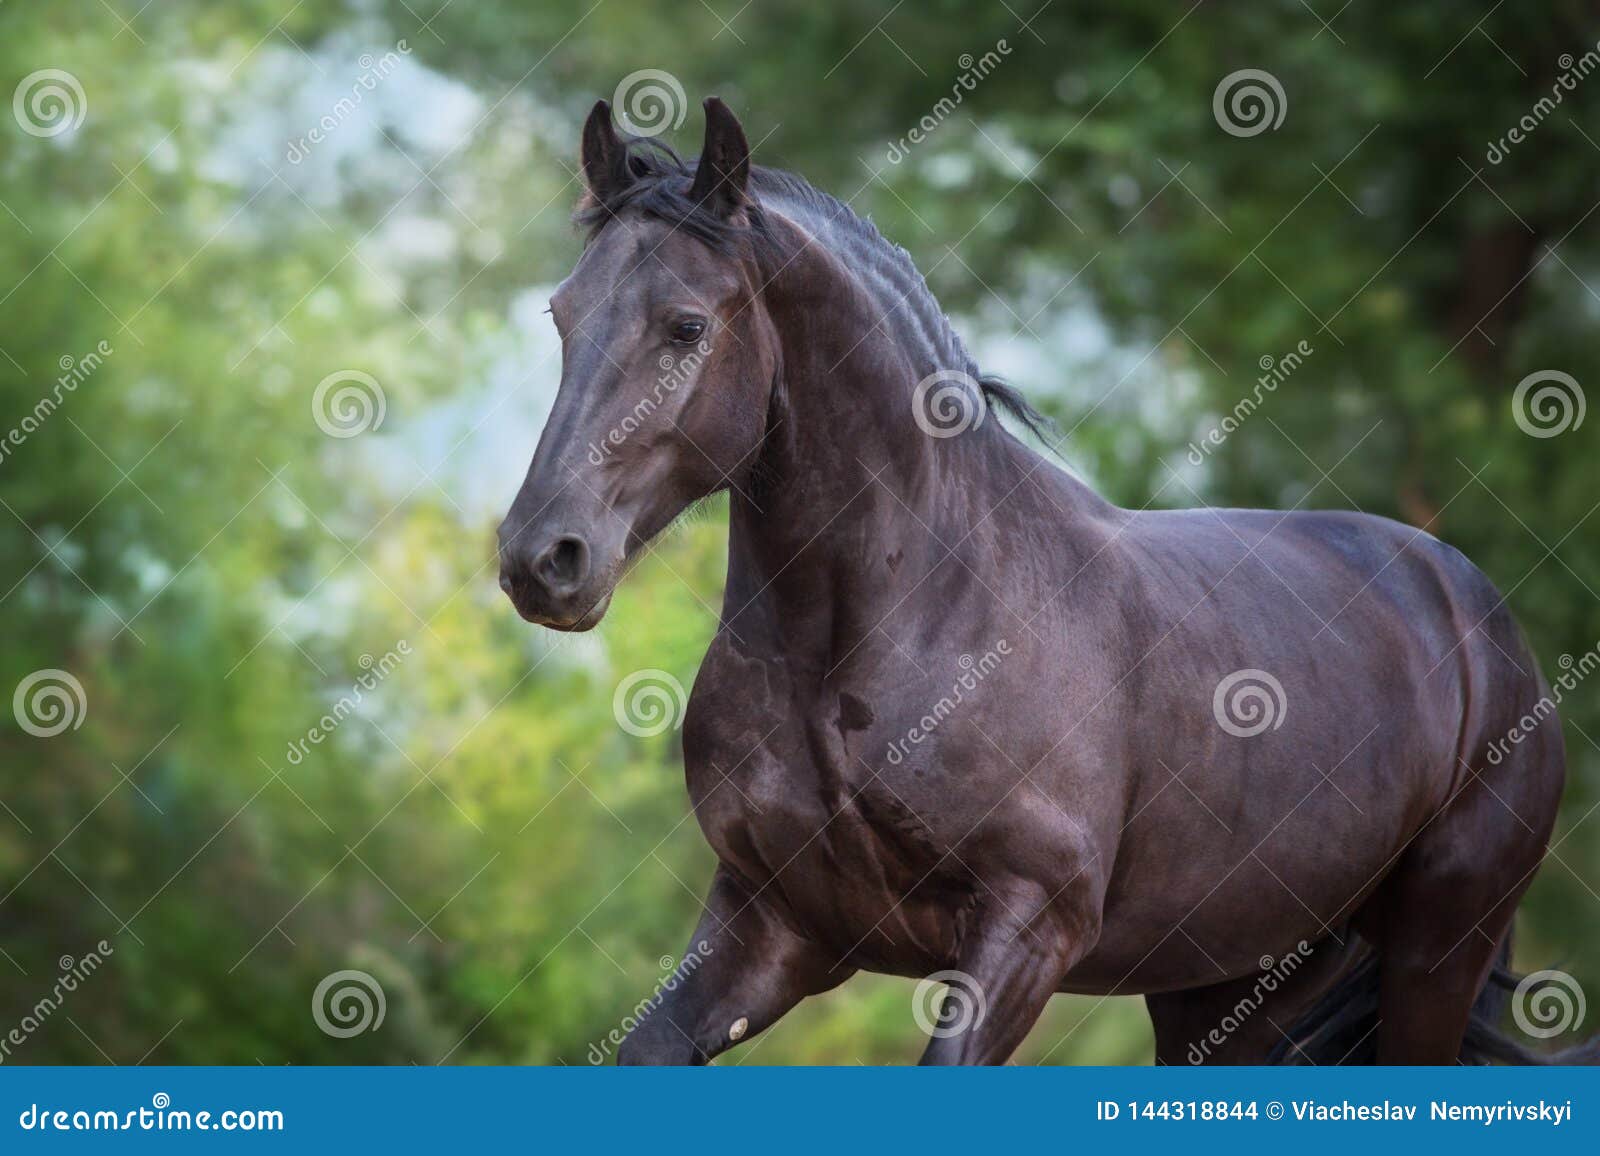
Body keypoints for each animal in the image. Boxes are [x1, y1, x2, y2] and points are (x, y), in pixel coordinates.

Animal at [492, 99, 1580, 1063]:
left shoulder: (1026, 932)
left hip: (1434, 953)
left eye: (683, 326)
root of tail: (1478, 617)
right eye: (561, 314)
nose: (541, 560)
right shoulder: (773, 924)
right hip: (1234, 985)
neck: (911, 620)